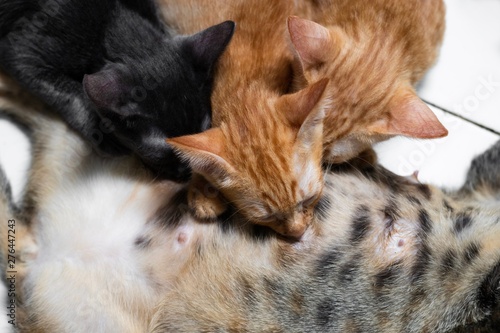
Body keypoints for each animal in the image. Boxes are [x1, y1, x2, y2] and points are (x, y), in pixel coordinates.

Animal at [0, 0, 234, 182]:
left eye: (201, 133)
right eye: (162, 153)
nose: (188, 174)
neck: (113, 19)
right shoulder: (21, 53)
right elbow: (75, 95)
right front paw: (102, 133)